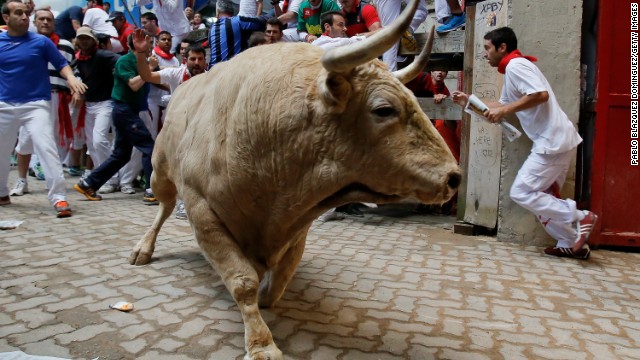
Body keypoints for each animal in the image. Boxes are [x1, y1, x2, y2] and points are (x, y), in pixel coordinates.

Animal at [130, 0, 460, 358]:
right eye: (384, 109)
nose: (454, 177)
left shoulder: (298, 220)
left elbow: (280, 278)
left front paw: (267, 295)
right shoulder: (201, 208)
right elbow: (242, 281)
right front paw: (261, 343)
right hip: (160, 172)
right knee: (163, 206)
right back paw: (142, 249)